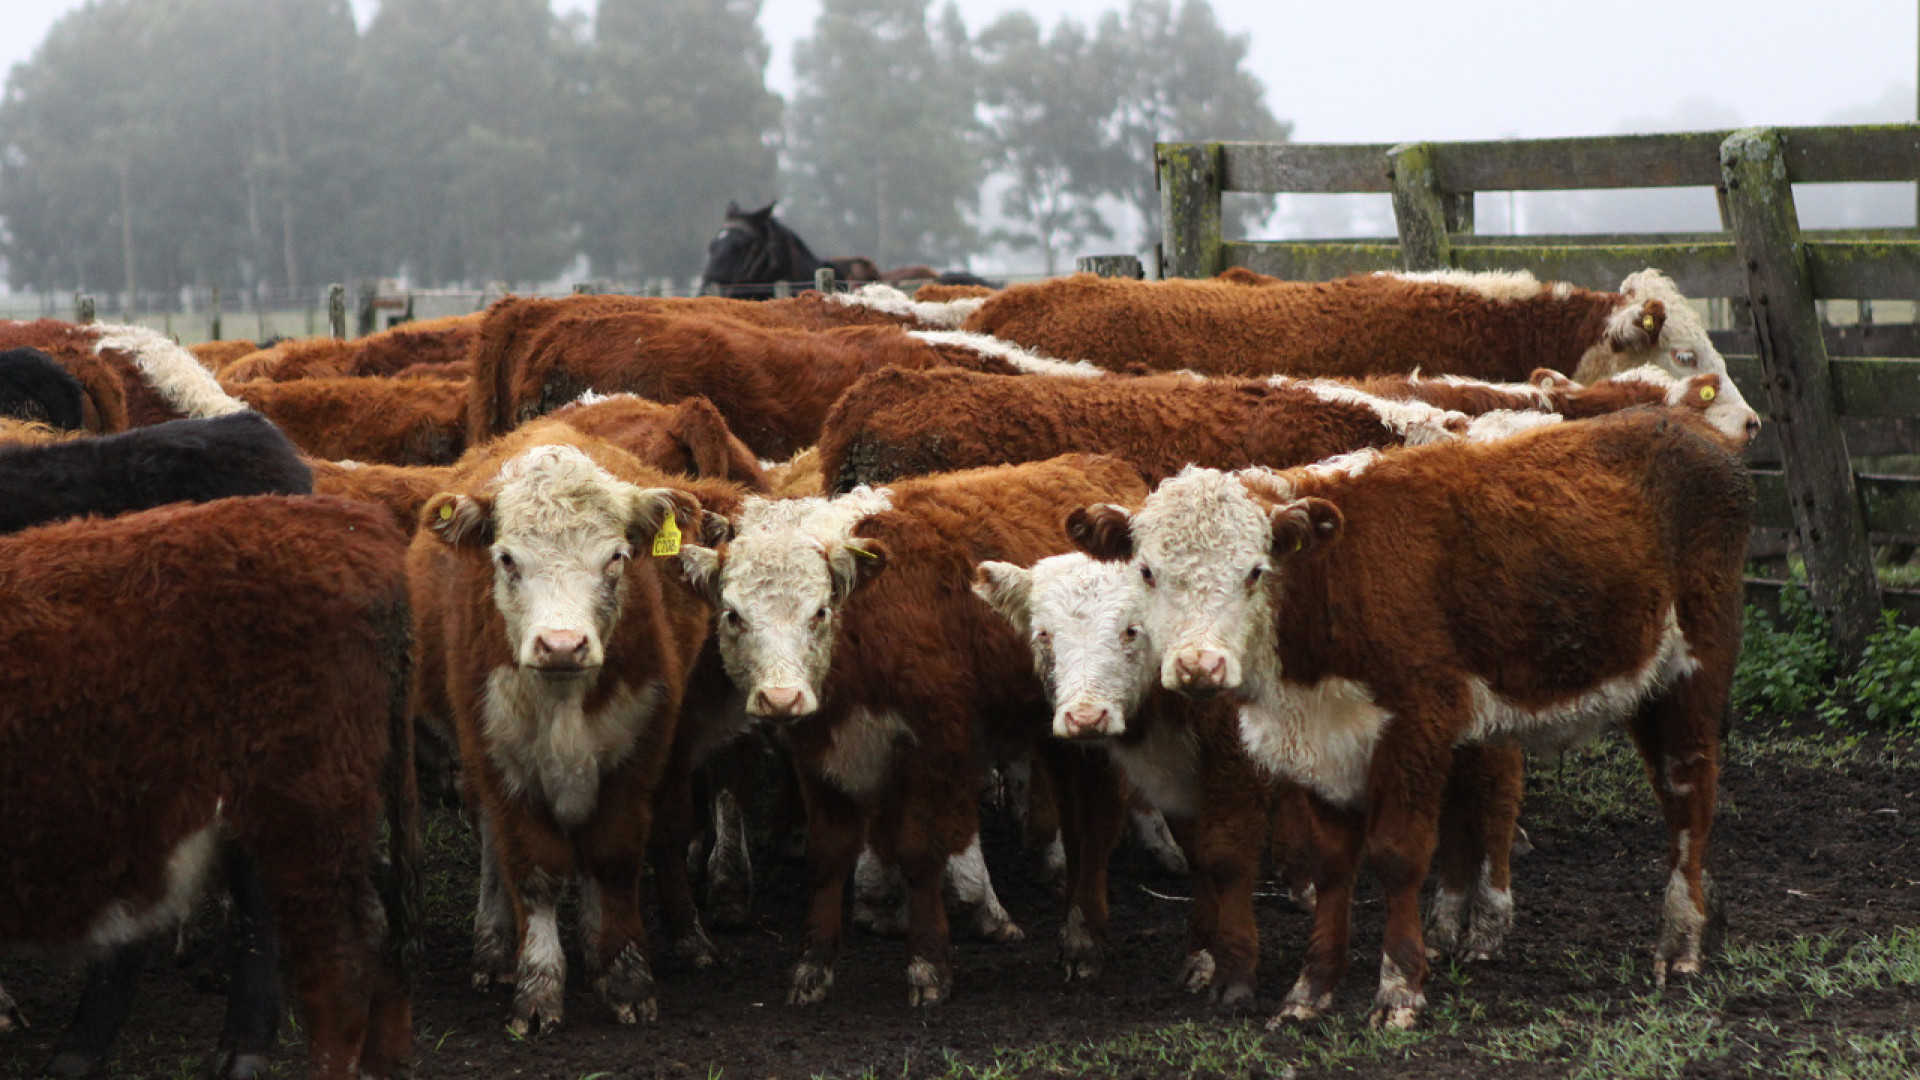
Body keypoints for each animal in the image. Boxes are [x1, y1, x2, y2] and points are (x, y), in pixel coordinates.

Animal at [679, 451, 1144, 999]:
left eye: (820, 611)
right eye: (733, 615)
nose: (780, 698)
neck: (863, 627)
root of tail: (1100, 462)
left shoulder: (935, 744)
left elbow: (920, 850)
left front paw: (928, 964)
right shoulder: (822, 752)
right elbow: (828, 855)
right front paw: (813, 966)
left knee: (1096, 825)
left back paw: (1082, 942)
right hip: (1060, 736)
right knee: (1074, 826)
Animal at [1067, 409, 1758, 1022]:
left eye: (1255, 570)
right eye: (1147, 571)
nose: (1199, 666)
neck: (1334, 585)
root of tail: (1690, 426)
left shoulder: (1418, 722)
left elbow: (1399, 855)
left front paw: (1398, 989)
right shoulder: (1323, 742)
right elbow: (1332, 864)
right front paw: (1310, 991)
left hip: (1695, 668)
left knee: (1689, 796)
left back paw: (1681, 939)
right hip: (1644, 682)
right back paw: (1709, 914)